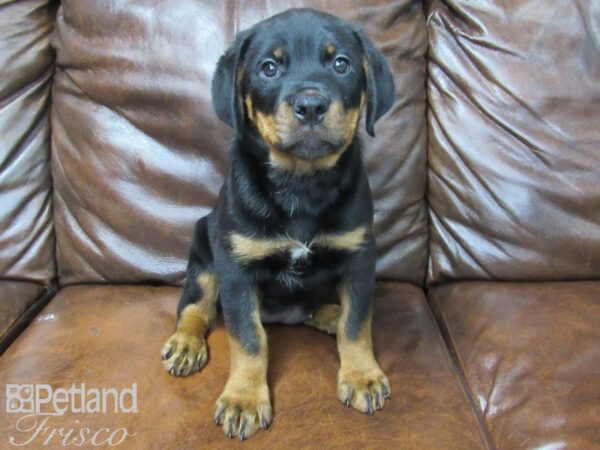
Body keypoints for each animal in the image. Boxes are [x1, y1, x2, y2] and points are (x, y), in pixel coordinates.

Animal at [161, 8, 394, 442]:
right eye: (269, 67)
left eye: (341, 64)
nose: (311, 106)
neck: (301, 183)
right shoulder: (236, 268)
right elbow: (249, 340)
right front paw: (245, 400)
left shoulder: (359, 254)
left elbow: (357, 323)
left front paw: (361, 376)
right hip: (203, 250)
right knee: (195, 307)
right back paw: (185, 344)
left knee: (322, 310)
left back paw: (330, 314)